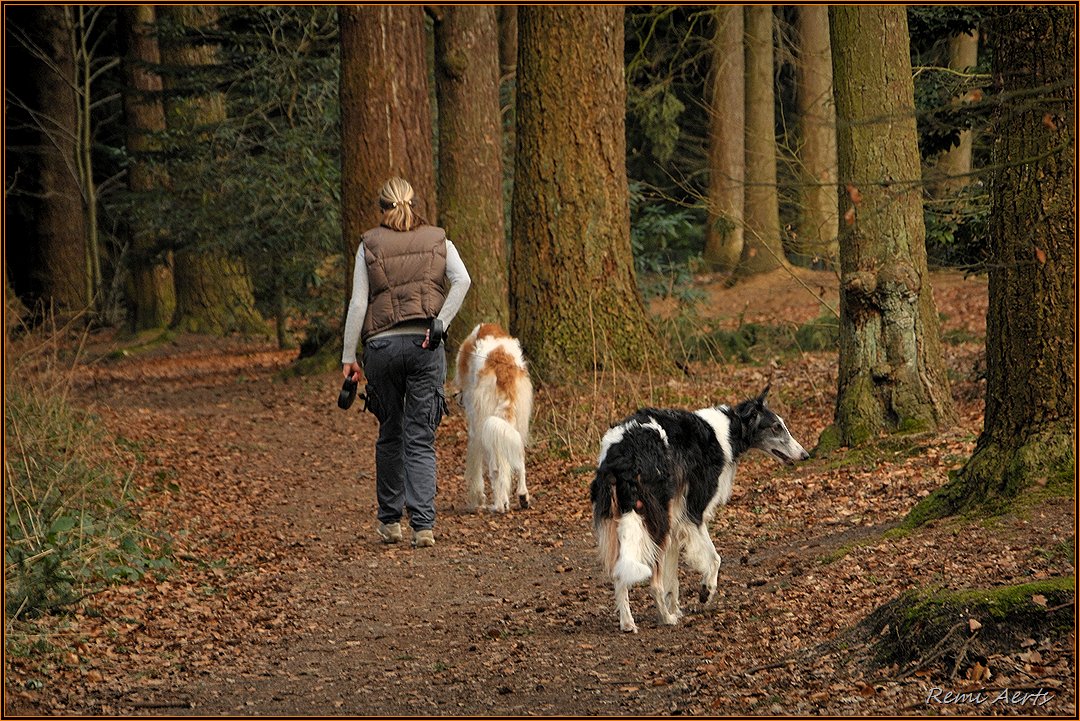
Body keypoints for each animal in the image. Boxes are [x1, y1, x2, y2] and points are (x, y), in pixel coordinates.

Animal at [453, 321, 533, 511]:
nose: (457, 397)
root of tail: (502, 363)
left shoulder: (474, 431)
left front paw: (477, 498)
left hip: (486, 423)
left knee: (496, 468)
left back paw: (500, 503)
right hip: (516, 422)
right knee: (519, 458)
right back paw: (522, 496)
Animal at [591, 386, 812, 634]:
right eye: (776, 426)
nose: (805, 455)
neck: (728, 429)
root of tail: (624, 454)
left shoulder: (677, 523)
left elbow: (673, 579)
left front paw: (677, 607)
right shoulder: (693, 514)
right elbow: (715, 559)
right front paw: (706, 591)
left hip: (625, 522)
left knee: (620, 574)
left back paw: (628, 622)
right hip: (658, 522)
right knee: (654, 582)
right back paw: (666, 618)